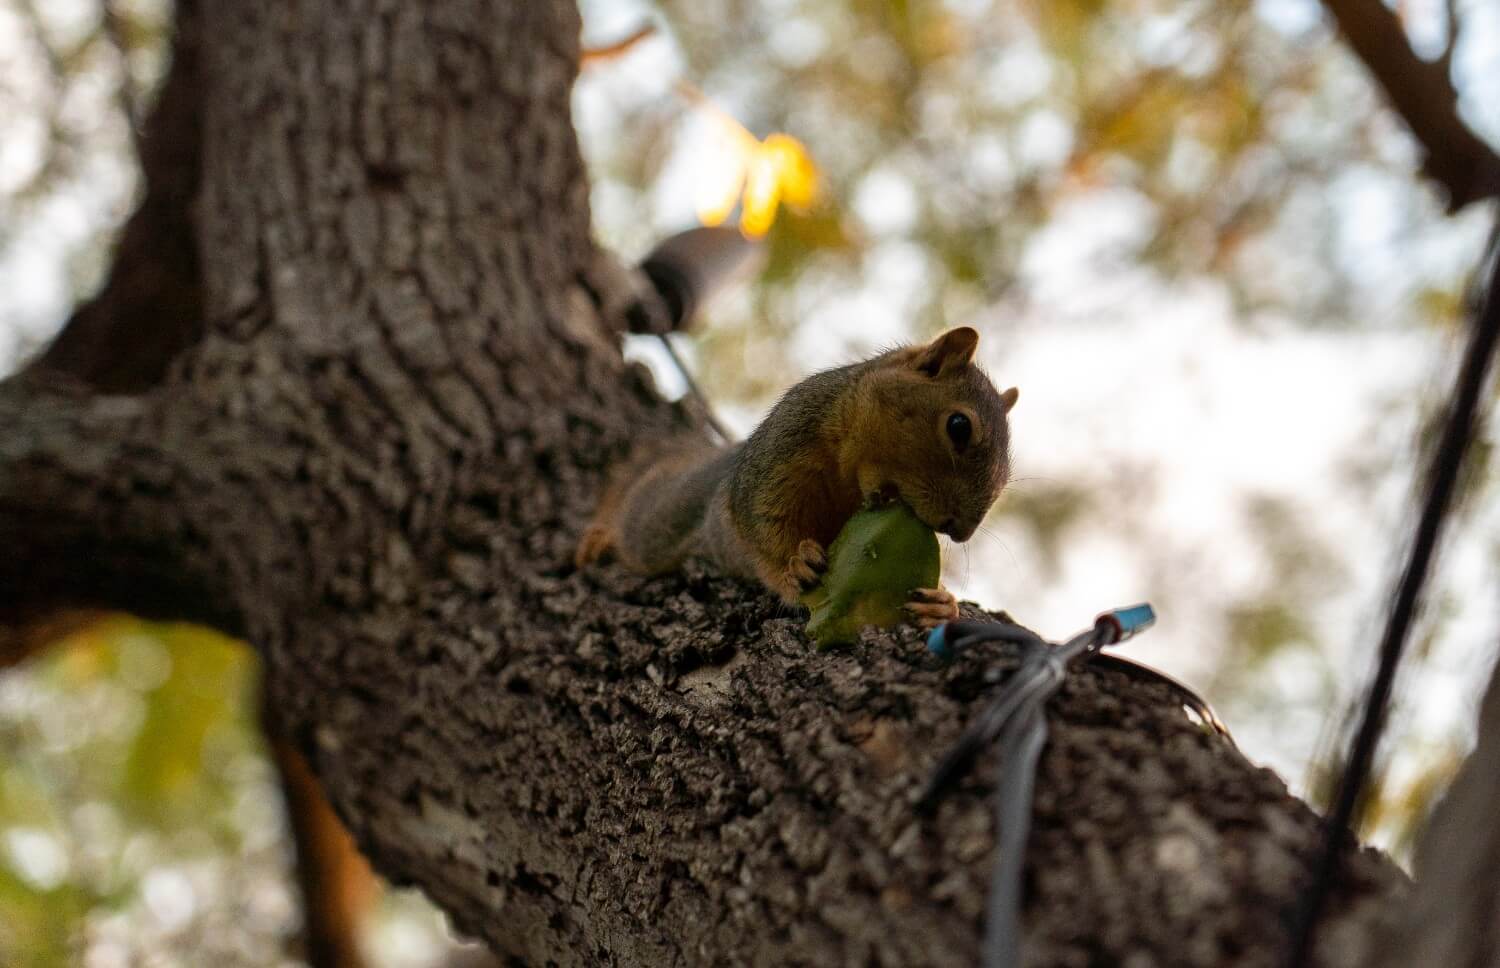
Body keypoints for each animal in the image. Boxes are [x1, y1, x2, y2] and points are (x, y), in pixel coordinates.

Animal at [576, 326, 1019, 628]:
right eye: (959, 427)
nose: (960, 532)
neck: (849, 479)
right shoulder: (779, 456)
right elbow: (761, 525)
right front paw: (794, 563)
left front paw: (943, 604)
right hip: (657, 524)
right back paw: (602, 533)